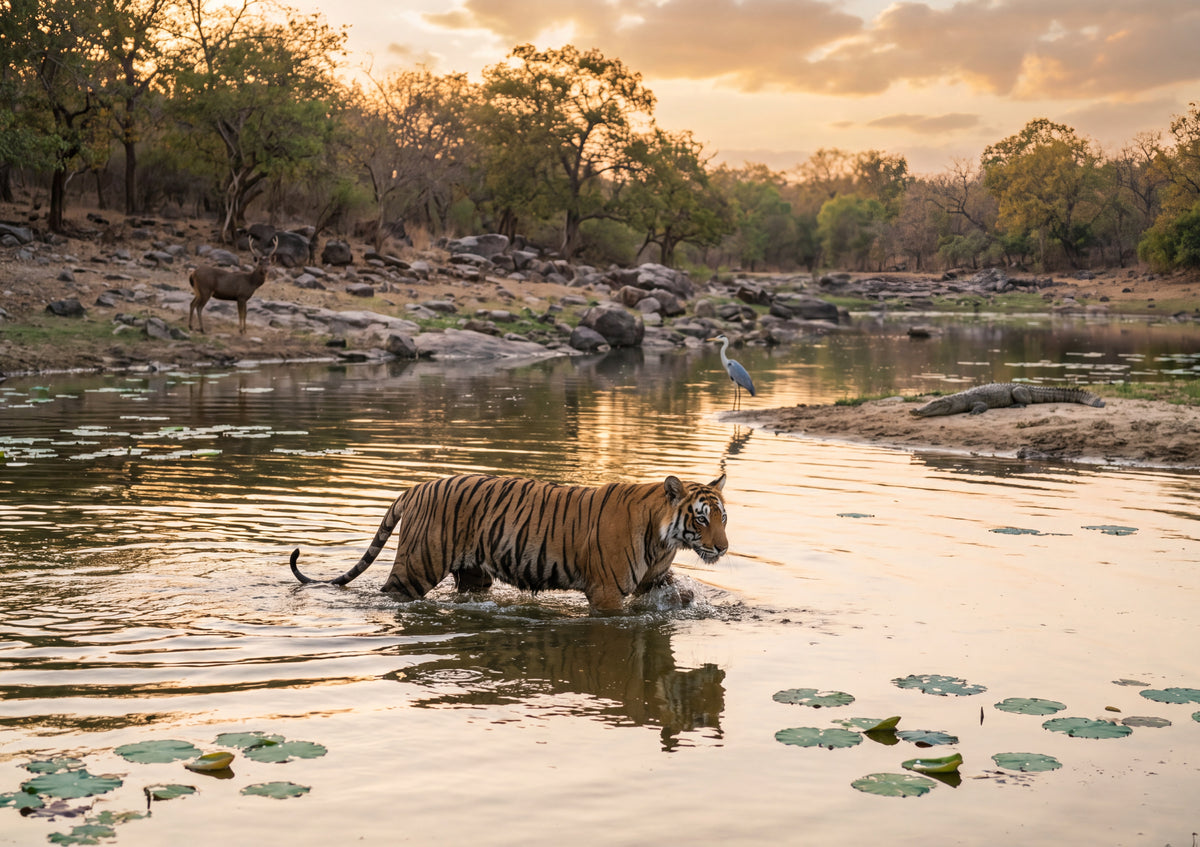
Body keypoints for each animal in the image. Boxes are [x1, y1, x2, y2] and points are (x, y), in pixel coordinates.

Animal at [288, 472, 729, 613]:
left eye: (723, 517)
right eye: (701, 518)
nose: (723, 548)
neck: (666, 539)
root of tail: (416, 487)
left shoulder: (654, 579)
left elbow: (677, 594)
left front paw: (687, 602)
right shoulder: (606, 593)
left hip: (473, 573)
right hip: (416, 567)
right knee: (389, 594)